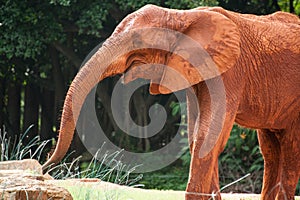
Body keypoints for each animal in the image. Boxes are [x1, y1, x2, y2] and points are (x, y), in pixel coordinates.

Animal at [42, 4, 300, 200]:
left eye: (137, 40)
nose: (45, 164)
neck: (182, 16)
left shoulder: (231, 72)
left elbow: (209, 134)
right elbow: (197, 137)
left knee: (290, 148)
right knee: (270, 149)